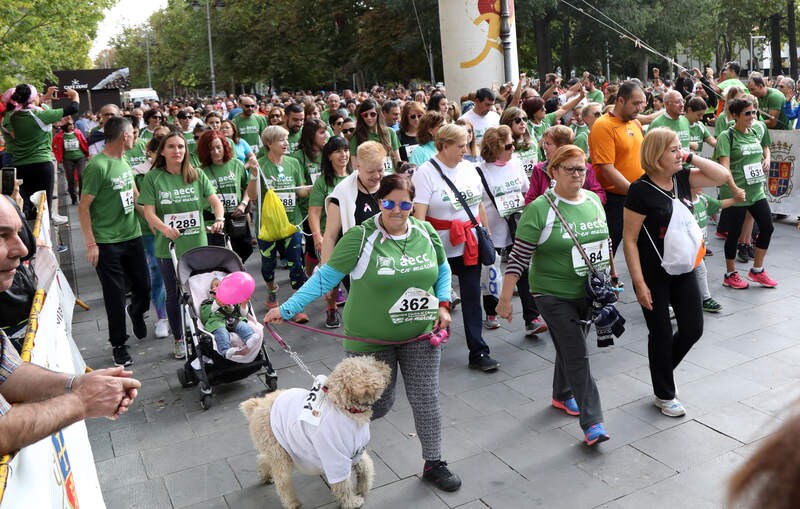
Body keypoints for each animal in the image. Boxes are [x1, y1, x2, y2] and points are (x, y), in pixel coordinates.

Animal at [241, 356, 390, 508]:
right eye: (370, 367)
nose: (387, 366)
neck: (346, 409)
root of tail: (258, 405)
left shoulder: (356, 451)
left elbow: (365, 467)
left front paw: (363, 488)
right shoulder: (335, 457)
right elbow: (342, 484)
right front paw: (351, 502)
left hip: (278, 449)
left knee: (263, 458)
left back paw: (265, 476)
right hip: (280, 454)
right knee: (282, 482)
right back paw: (292, 503)